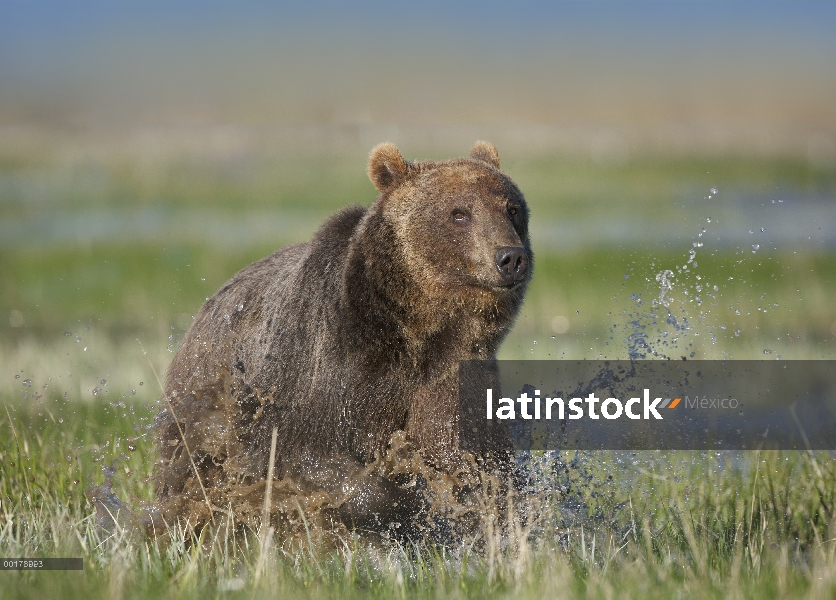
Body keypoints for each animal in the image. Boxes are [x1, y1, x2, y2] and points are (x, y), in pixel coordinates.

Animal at [154, 139, 532, 536]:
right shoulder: (322, 369)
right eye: (459, 214)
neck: (415, 331)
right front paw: (402, 506)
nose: (510, 257)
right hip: (203, 407)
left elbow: (473, 460)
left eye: (512, 208)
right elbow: (305, 455)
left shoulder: (450, 377)